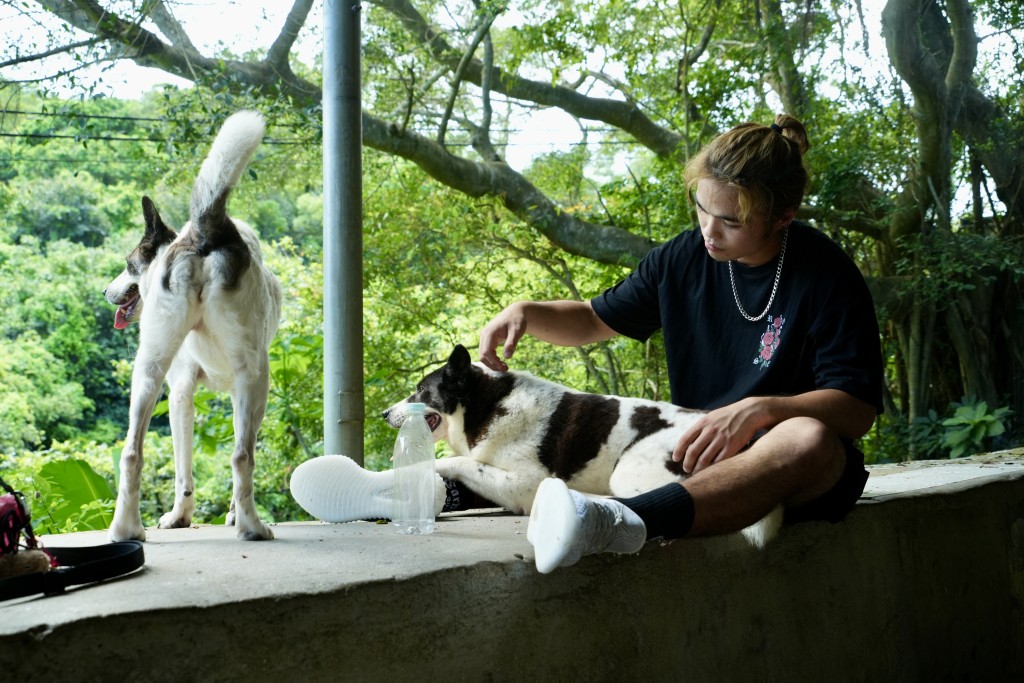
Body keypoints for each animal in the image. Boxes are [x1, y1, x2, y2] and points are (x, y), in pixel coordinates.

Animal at [104, 111, 282, 540]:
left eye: (128, 265)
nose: (105, 291)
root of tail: (204, 230)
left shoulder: (180, 389)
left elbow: (182, 466)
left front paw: (179, 517)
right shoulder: (240, 391)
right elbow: (241, 452)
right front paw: (232, 514)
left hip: (149, 371)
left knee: (131, 452)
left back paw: (127, 529)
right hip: (257, 376)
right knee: (241, 456)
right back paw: (251, 526)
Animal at [385, 344, 782, 548]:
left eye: (420, 391)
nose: (384, 412)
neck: (487, 404)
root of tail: (747, 442)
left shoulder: (525, 483)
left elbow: (461, 463)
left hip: (629, 470)